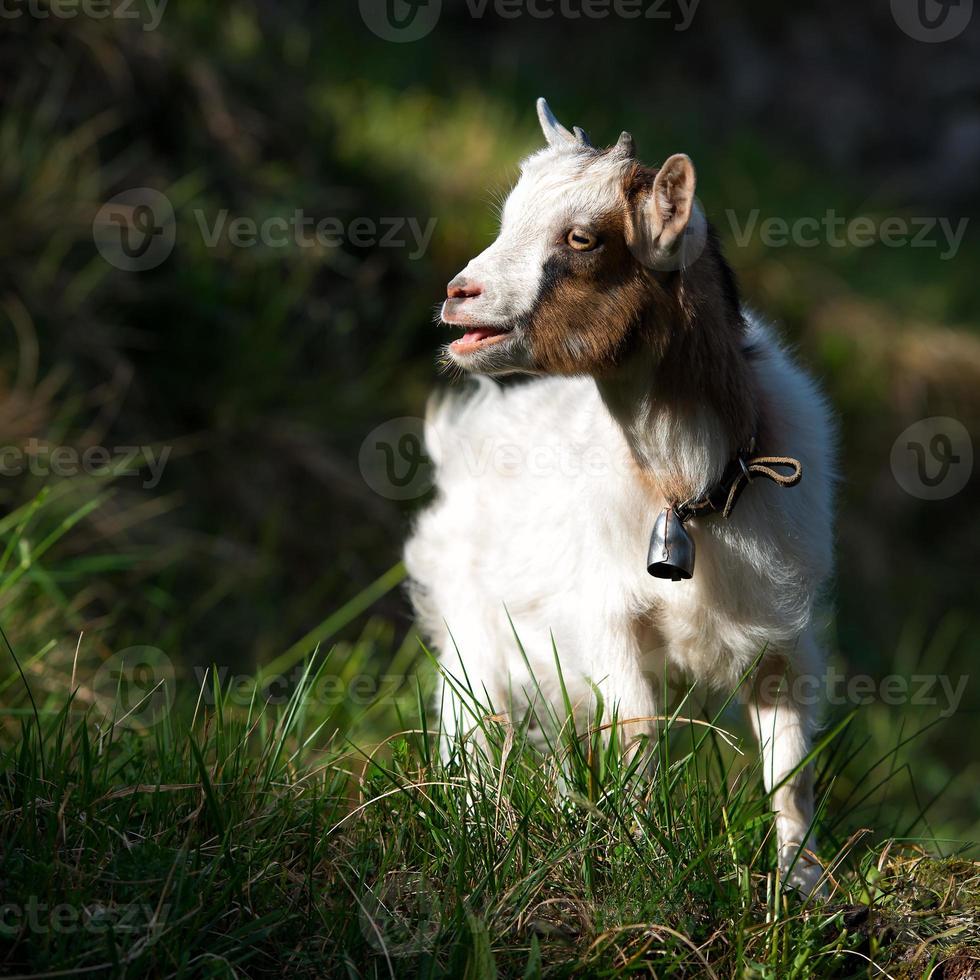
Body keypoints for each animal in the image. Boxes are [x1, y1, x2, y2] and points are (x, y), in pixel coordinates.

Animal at [402, 99, 840, 896]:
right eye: (508, 216)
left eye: (582, 237)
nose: (457, 297)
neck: (690, 489)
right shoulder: (605, 618)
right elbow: (636, 739)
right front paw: (641, 859)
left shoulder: (785, 637)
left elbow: (790, 773)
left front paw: (804, 887)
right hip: (472, 633)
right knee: (474, 733)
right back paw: (478, 831)